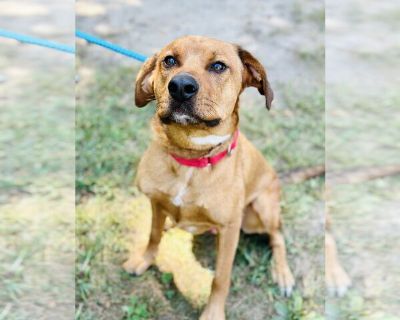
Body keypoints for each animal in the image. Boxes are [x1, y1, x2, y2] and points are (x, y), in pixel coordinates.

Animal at [123, 36, 296, 318]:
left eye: (218, 66)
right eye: (169, 60)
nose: (180, 86)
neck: (191, 157)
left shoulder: (229, 229)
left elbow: (221, 278)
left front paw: (213, 312)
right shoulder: (156, 202)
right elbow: (153, 235)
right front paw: (144, 260)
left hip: (259, 211)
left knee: (277, 235)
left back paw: (283, 274)